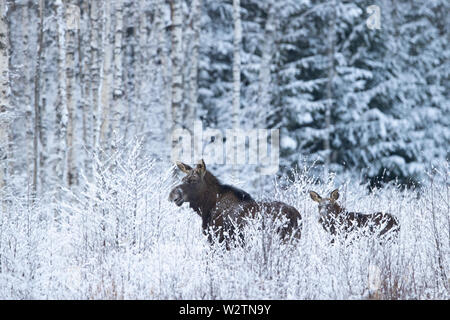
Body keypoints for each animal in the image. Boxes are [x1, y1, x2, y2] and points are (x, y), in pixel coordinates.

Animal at [169, 160, 302, 248]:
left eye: (193, 180)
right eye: (182, 179)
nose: (172, 194)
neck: (207, 208)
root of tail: (297, 217)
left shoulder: (218, 241)